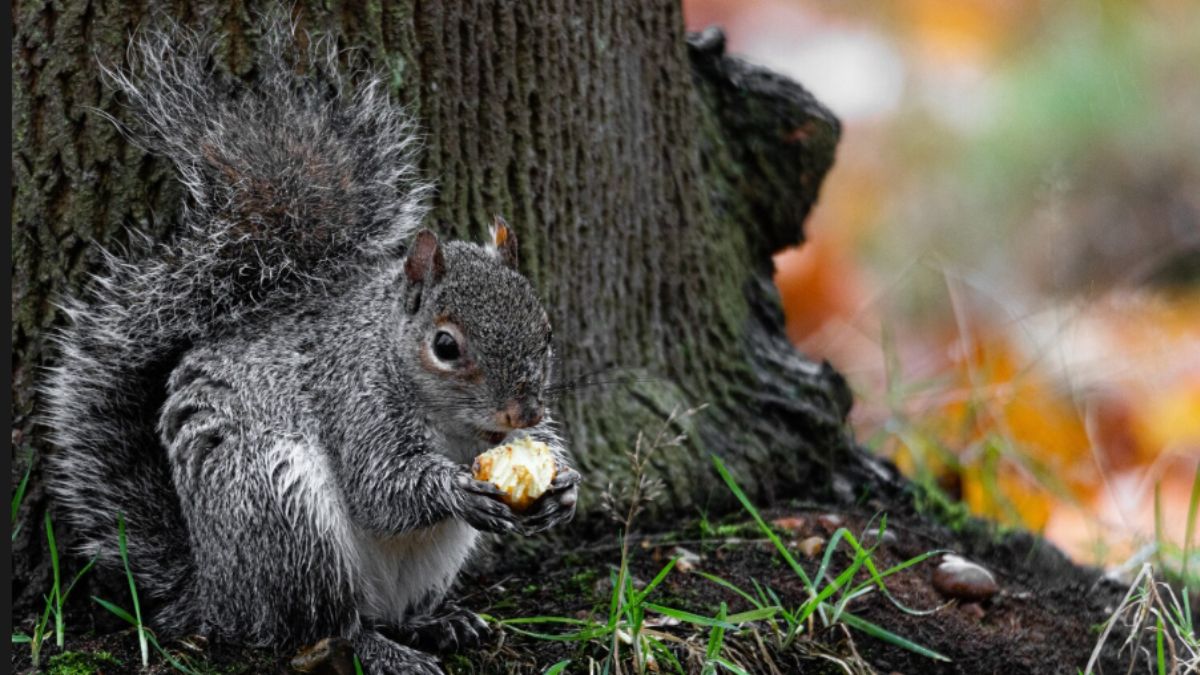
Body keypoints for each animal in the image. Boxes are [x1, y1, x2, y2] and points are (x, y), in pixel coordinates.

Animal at [43, 18, 580, 675]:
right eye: (446, 345)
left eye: (546, 332)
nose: (522, 413)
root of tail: (217, 594)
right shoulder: (357, 402)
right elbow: (381, 488)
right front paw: (456, 490)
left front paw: (564, 487)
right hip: (284, 516)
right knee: (323, 626)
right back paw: (383, 650)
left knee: (387, 612)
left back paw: (438, 623)